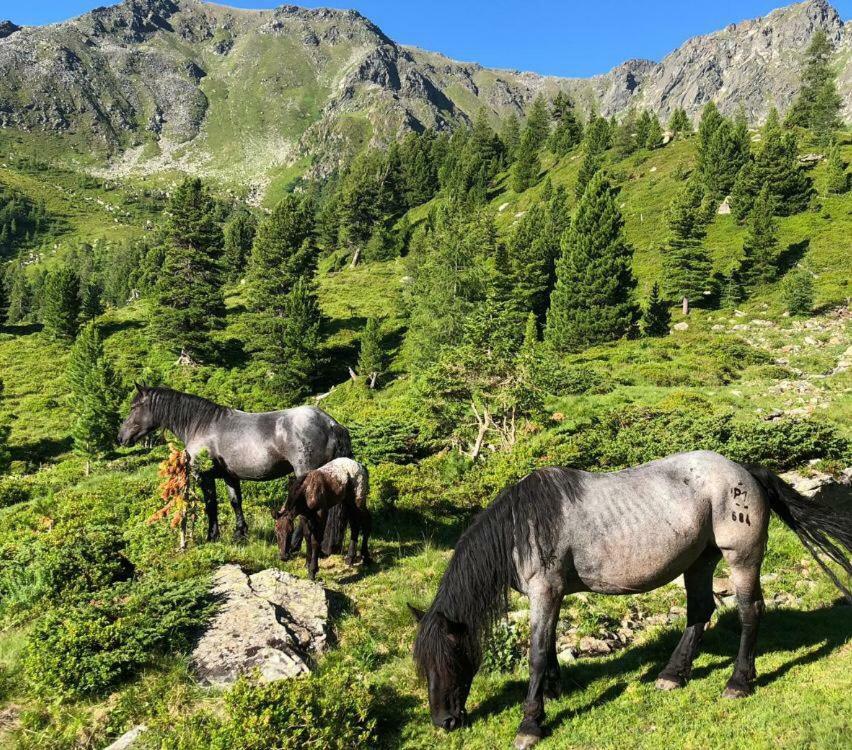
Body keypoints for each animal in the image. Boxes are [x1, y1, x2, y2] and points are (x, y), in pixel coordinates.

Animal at [116, 388, 350, 540]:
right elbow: (235, 502)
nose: (120, 437)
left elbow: (211, 505)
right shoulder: (230, 477)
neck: (202, 425)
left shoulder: (205, 476)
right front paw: (240, 533)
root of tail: (330, 423)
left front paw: (212, 536)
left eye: (134, 406)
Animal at [410, 450, 848, 748]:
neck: (524, 527)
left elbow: (536, 653)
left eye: (451, 658)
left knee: (749, 612)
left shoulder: (544, 590)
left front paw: (531, 723)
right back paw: (672, 674)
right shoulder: (552, 594)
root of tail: (744, 471)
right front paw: (553, 689)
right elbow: (547, 646)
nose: (443, 722)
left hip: (740, 558)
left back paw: (738, 682)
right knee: (700, 611)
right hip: (700, 560)